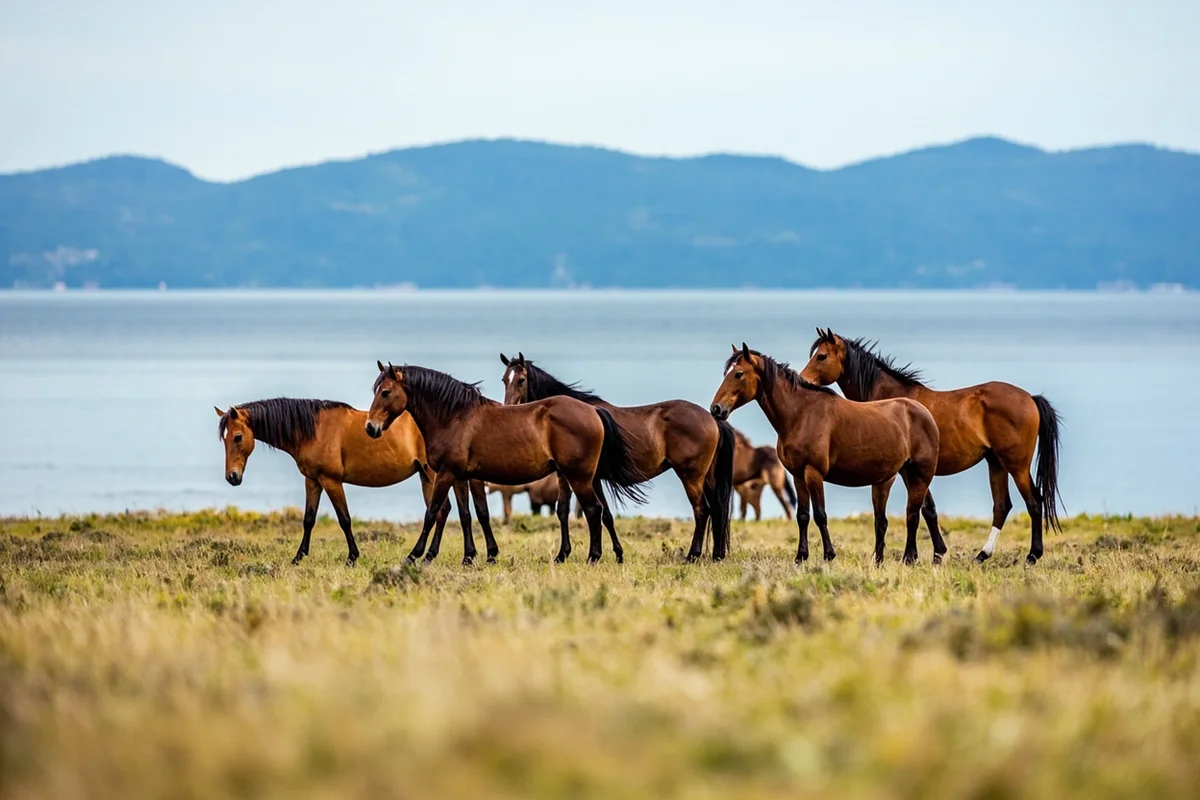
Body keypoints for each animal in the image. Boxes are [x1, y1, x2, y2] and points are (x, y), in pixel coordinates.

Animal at [215, 398, 476, 566]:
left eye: (237, 437)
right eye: (224, 439)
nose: (232, 477)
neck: (313, 429)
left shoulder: (331, 481)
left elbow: (344, 519)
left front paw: (352, 558)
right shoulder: (312, 480)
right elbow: (308, 520)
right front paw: (298, 557)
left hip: (432, 475)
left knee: (439, 511)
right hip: (425, 476)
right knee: (442, 511)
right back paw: (431, 556)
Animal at [366, 362, 649, 564]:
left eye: (386, 392)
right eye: (375, 390)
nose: (371, 427)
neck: (455, 417)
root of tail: (593, 411)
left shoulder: (446, 475)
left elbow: (433, 512)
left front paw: (415, 555)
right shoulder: (460, 476)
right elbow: (469, 514)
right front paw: (471, 556)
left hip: (579, 477)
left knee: (593, 510)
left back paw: (593, 557)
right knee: (597, 511)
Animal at [499, 353, 736, 562]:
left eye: (521, 380)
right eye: (504, 379)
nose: (508, 409)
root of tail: (713, 419)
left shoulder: (584, 478)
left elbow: (595, 512)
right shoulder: (575, 477)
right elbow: (579, 512)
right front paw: (604, 553)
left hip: (691, 476)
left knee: (702, 510)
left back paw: (692, 555)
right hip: (709, 478)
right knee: (717, 510)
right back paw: (716, 555)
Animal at [711, 345, 943, 565]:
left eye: (739, 374)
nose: (716, 409)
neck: (801, 414)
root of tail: (924, 412)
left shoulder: (814, 473)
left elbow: (820, 515)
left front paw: (828, 555)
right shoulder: (798, 476)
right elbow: (802, 516)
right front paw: (801, 556)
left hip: (920, 476)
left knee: (913, 515)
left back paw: (910, 558)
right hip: (898, 476)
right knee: (887, 520)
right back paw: (883, 560)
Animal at [800, 328, 1063, 565]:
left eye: (821, 356)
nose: (802, 381)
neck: (892, 402)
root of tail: (1030, 398)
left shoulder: (908, 471)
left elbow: (920, 510)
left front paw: (917, 556)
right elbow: (929, 510)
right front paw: (938, 553)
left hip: (1016, 466)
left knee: (1034, 503)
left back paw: (1032, 556)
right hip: (996, 463)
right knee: (1002, 506)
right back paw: (982, 555)